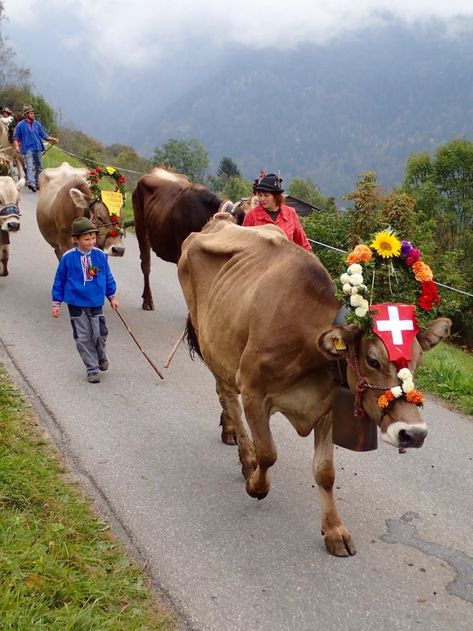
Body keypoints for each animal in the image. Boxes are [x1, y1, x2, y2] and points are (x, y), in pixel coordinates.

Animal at [176, 216, 450, 556]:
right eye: (373, 360)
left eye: (418, 361)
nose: (414, 433)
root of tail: (220, 220)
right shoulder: (254, 392)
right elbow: (269, 453)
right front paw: (256, 484)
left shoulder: (327, 408)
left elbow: (325, 472)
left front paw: (334, 530)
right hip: (213, 345)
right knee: (227, 397)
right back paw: (244, 455)